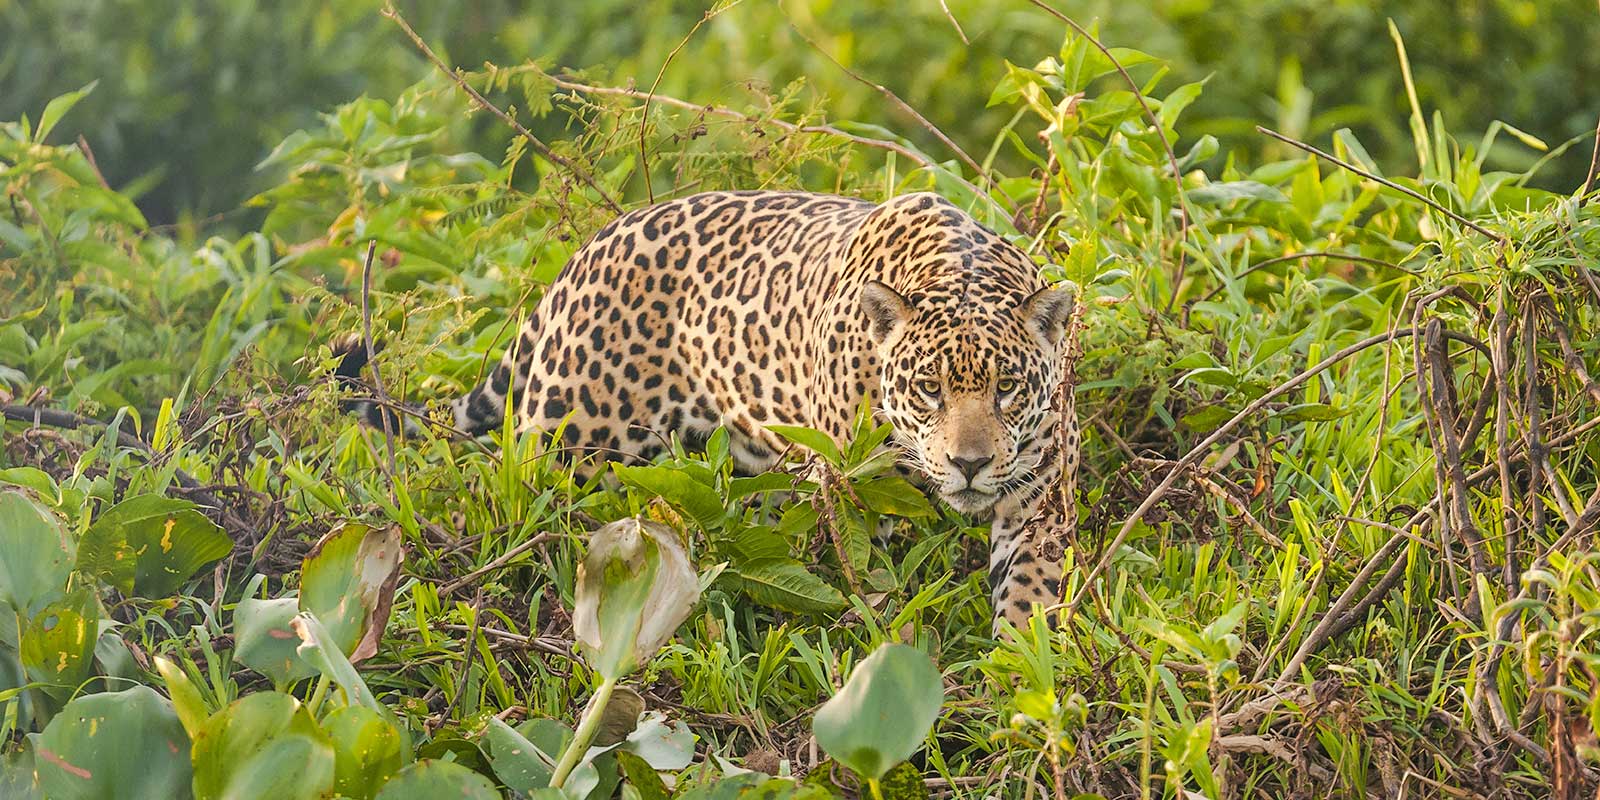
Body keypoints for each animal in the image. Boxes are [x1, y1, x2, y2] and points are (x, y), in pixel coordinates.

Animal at [340, 190, 1081, 634]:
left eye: (1008, 388)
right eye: (929, 388)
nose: (969, 463)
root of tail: (578, 258)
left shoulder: (1041, 505)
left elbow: (1032, 591)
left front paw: (1021, 672)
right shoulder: (850, 491)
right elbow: (865, 572)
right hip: (571, 447)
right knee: (513, 505)